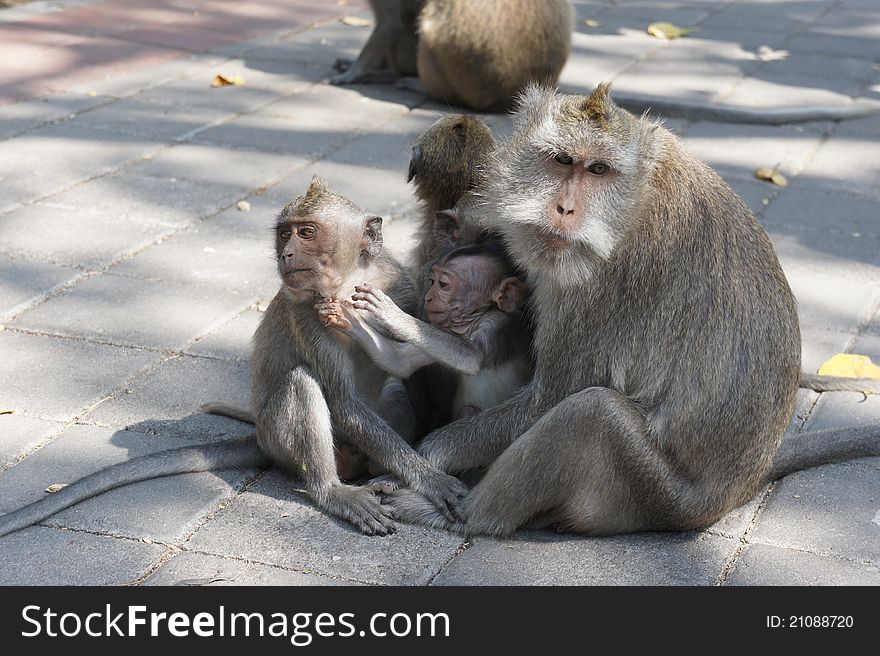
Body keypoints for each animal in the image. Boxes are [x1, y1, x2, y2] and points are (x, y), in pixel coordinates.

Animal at [0, 176, 468, 540]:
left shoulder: (400, 286)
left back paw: (381, 474)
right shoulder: (307, 310)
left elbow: (409, 369)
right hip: (282, 441)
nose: (286, 255)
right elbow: (344, 402)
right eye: (284, 234)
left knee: (391, 395)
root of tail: (259, 437)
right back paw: (331, 491)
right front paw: (431, 479)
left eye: (307, 233)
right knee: (301, 383)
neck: (350, 281)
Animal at [386, 84, 880, 540]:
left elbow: (550, 397)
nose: (564, 208)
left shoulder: (602, 281)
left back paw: (469, 516)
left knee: (592, 414)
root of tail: (740, 488)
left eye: (598, 169)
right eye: (562, 160)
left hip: (649, 496)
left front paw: (432, 453)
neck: (635, 198)